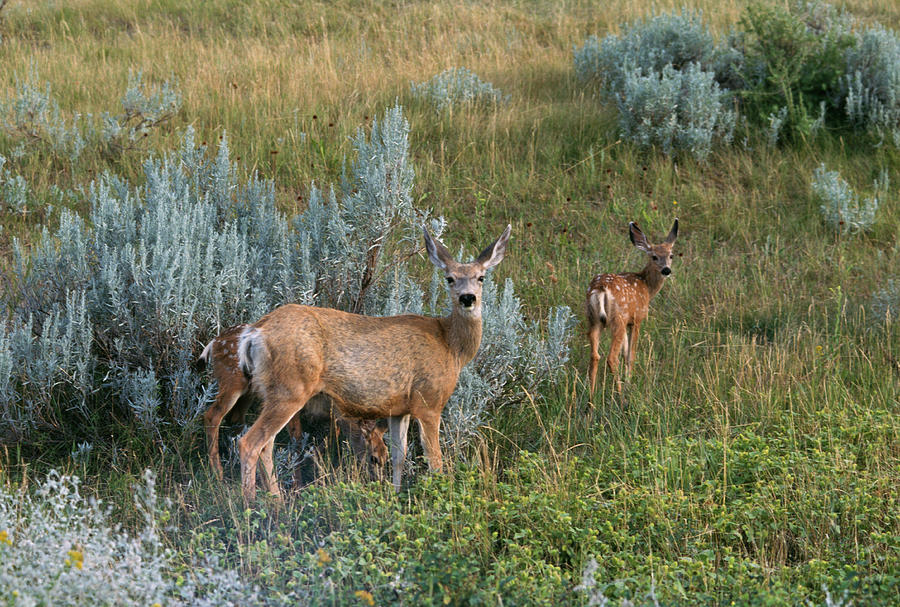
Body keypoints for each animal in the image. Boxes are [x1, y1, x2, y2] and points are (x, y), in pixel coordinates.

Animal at [197, 326, 386, 482]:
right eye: (374, 458)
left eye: (385, 457)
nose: (378, 482)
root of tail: (214, 342)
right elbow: (297, 441)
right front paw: (298, 482)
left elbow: (332, 434)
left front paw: (316, 458)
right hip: (232, 382)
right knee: (212, 415)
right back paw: (218, 472)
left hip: (248, 392)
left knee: (235, 418)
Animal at [236, 226, 510, 502]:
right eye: (450, 278)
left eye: (481, 277)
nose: (468, 298)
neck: (451, 346)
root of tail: (255, 333)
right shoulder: (428, 401)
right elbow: (435, 461)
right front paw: (440, 496)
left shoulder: (400, 409)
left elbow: (400, 455)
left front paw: (396, 495)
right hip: (290, 388)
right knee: (249, 442)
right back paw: (252, 504)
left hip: (275, 390)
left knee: (266, 445)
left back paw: (276, 500)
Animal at [588, 218, 680, 394]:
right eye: (654, 256)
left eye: (671, 255)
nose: (666, 270)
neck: (646, 287)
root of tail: (600, 288)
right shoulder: (636, 318)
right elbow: (630, 354)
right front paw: (629, 380)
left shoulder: (628, 322)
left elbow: (625, 353)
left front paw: (627, 378)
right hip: (618, 318)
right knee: (611, 357)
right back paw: (620, 393)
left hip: (593, 319)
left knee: (595, 355)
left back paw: (591, 396)